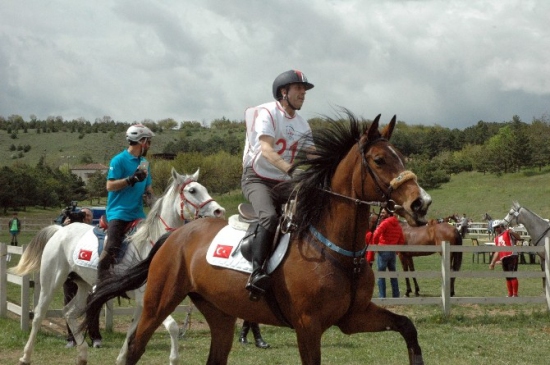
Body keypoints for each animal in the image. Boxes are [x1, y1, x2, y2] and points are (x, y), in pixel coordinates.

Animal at [8, 168, 225, 364]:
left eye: (204, 188)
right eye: (192, 191)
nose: (219, 211)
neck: (152, 245)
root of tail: (60, 230)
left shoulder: (142, 302)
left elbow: (132, 331)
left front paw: (121, 359)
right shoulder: (147, 299)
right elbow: (172, 327)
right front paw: (173, 359)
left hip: (84, 285)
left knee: (69, 312)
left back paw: (83, 354)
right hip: (51, 280)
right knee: (38, 315)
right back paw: (26, 356)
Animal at [83, 113, 436, 364]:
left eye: (401, 156)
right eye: (379, 160)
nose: (421, 203)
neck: (337, 250)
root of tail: (175, 235)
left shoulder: (354, 317)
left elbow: (408, 326)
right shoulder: (308, 327)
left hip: (219, 313)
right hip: (158, 302)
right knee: (134, 348)